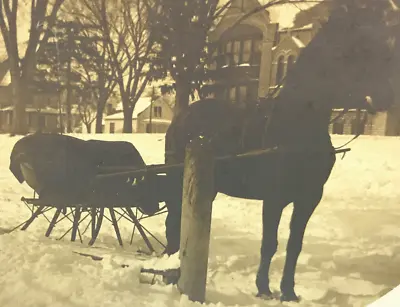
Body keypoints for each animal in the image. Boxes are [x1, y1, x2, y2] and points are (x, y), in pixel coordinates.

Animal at [162, 0, 396, 304]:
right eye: (355, 49)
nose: (386, 97)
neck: (297, 125)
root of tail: (182, 118)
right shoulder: (274, 198)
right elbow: (269, 243)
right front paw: (263, 287)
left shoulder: (308, 198)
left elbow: (295, 245)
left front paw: (289, 291)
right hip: (177, 178)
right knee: (172, 219)